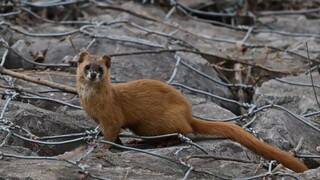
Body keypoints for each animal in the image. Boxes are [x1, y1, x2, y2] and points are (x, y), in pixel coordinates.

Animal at [76, 51, 308, 172]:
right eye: (87, 66)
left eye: (100, 68)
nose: (93, 74)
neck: (92, 104)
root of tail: (188, 114)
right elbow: (114, 136)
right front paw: (115, 143)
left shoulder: (111, 117)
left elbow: (111, 134)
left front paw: (102, 147)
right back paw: (139, 140)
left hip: (164, 121)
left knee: (183, 132)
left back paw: (161, 142)